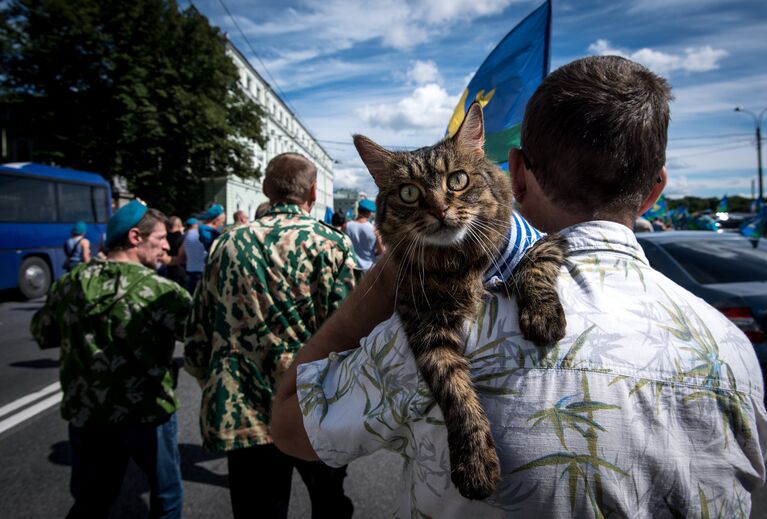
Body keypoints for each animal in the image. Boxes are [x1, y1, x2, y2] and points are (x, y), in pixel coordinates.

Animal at [356, 100, 568, 500]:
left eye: (457, 180)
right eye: (409, 193)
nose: (440, 210)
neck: (456, 260)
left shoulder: (543, 240)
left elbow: (535, 271)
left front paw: (544, 317)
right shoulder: (423, 318)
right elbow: (454, 391)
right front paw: (475, 463)